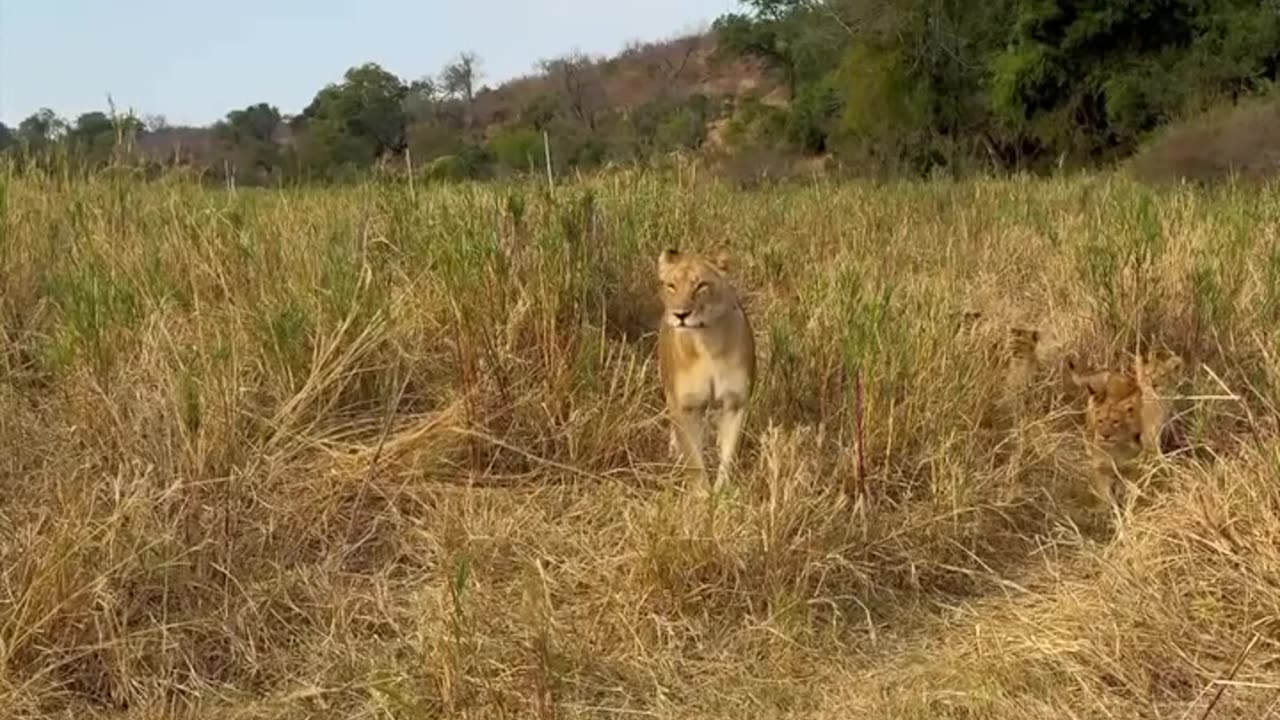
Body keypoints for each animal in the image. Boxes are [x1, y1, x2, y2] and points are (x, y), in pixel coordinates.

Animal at [656, 248, 756, 490]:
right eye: (671, 285)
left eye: (701, 285)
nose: (681, 315)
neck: (706, 343)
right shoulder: (686, 407)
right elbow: (693, 460)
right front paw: (702, 494)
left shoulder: (735, 403)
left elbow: (729, 455)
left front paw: (722, 491)